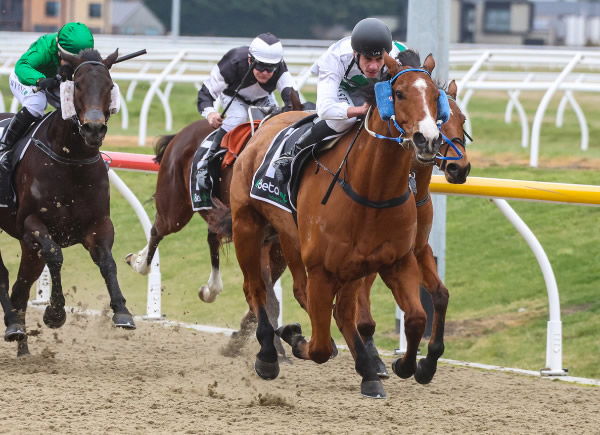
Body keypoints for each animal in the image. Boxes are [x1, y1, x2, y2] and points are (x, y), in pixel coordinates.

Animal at [0, 48, 135, 354]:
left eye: (110, 85)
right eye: (79, 85)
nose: (94, 129)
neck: (70, 160)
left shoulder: (98, 225)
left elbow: (107, 262)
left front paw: (122, 311)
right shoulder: (31, 224)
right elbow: (55, 255)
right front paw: (55, 312)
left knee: (21, 287)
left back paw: (21, 340)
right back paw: (14, 326)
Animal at [225, 53, 446, 398]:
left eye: (437, 96)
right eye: (399, 94)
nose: (428, 140)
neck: (372, 191)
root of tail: (264, 126)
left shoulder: (396, 260)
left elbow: (415, 318)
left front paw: (408, 365)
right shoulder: (322, 269)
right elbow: (319, 347)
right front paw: (294, 336)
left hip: (298, 242)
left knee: (330, 306)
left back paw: (368, 369)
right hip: (247, 226)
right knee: (256, 288)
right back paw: (268, 355)